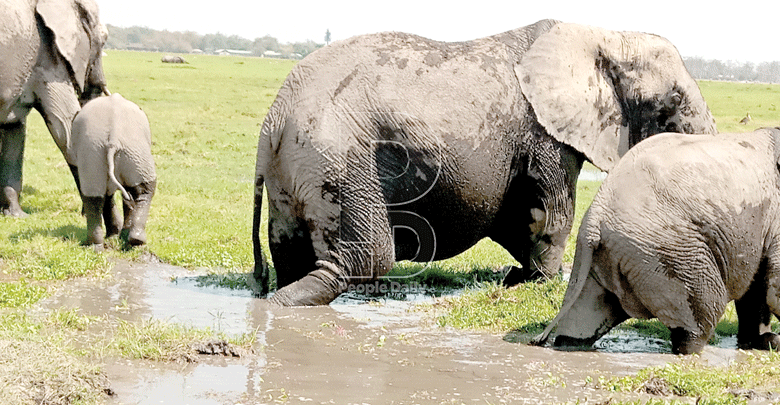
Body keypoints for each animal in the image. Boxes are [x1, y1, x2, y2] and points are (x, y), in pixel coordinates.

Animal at [0, 0, 110, 216]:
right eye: (103, 40)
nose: (81, 212)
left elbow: (15, 129)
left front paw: (16, 215)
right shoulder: (48, 58)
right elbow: (65, 130)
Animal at [68, 93, 157, 248]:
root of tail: (113, 139)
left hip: (98, 153)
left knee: (94, 195)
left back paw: (97, 246)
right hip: (133, 152)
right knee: (144, 190)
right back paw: (135, 242)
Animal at [253, 18, 716, 304]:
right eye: (672, 104)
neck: (607, 35)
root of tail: (273, 119)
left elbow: (518, 218)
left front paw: (520, 279)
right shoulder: (544, 133)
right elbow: (551, 212)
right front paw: (544, 284)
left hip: (294, 170)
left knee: (291, 251)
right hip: (339, 159)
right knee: (367, 258)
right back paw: (284, 305)